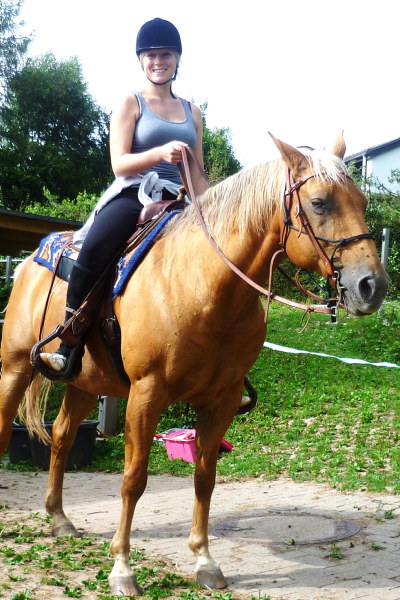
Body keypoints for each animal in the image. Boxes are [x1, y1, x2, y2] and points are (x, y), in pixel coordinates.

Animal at [0, 133, 388, 596]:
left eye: (362, 201)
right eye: (319, 202)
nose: (372, 286)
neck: (201, 285)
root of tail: (28, 261)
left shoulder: (220, 401)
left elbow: (205, 477)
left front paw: (204, 560)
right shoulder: (146, 395)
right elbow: (134, 478)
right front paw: (122, 568)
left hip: (84, 382)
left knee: (61, 436)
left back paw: (59, 519)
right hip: (15, 368)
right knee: (6, 428)